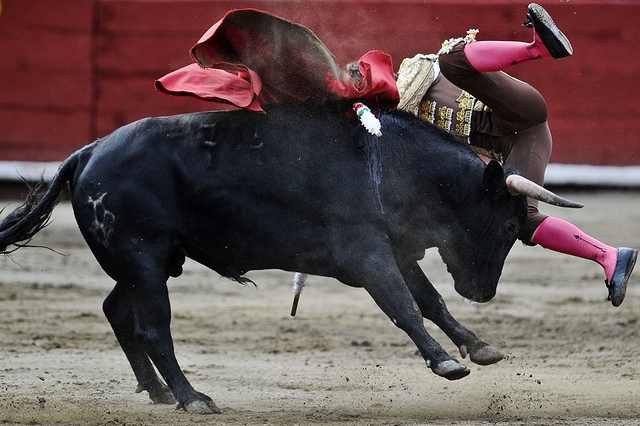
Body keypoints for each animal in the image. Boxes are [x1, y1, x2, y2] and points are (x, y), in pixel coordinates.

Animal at [0, 100, 580, 412]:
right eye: (508, 224)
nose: (483, 292)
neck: (392, 161)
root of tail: (87, 152)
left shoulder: (395, 248)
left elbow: (429, 300)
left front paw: (478, 347)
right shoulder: (366, 252)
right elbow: (403, 306)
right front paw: (444, 362)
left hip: (155, 261)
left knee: (116, 310)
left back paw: (160, 393)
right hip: (143, 260)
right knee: (152, 326)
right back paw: (192, 397)